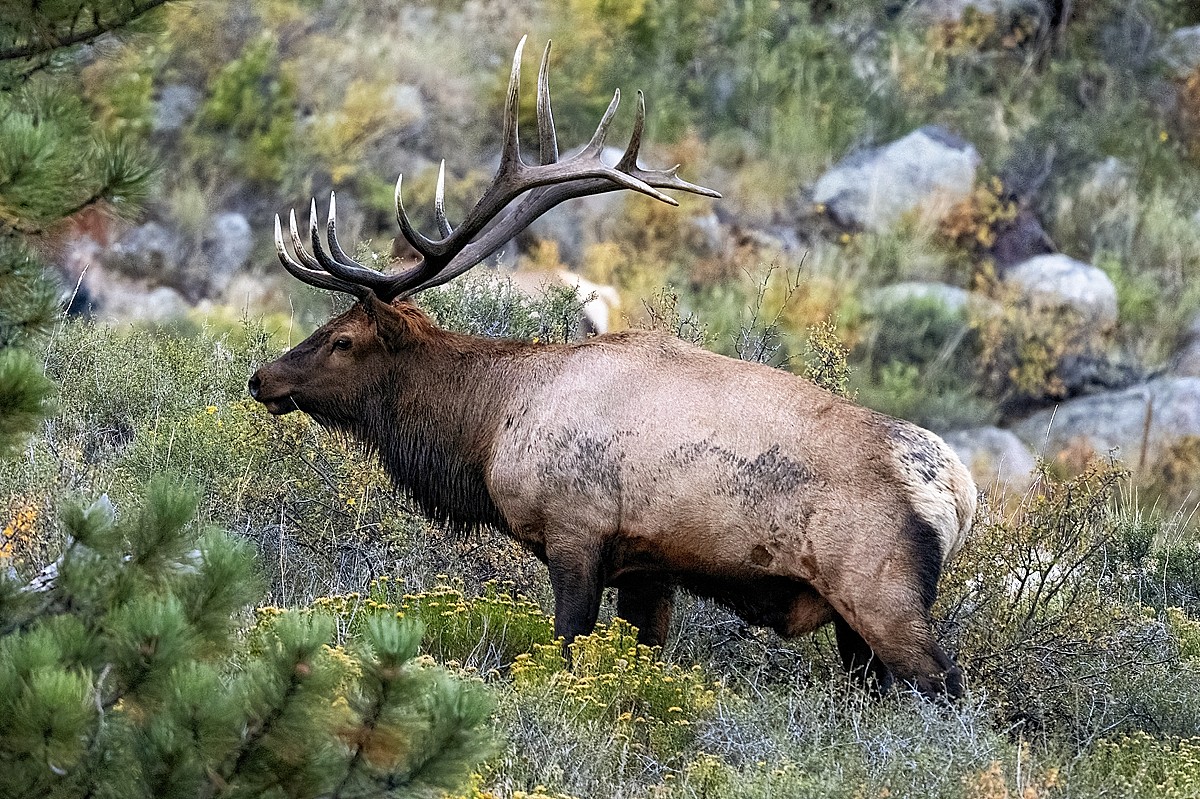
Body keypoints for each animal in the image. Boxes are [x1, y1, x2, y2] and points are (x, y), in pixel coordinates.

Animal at [250, 38, 974, 695]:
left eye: (343, 339)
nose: (263, 378)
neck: (488, 430)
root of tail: (960, 492)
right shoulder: (648, 566)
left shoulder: (576, 532)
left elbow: (567, 646)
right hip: (855, 619)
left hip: (879, 588)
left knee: (944, 686)